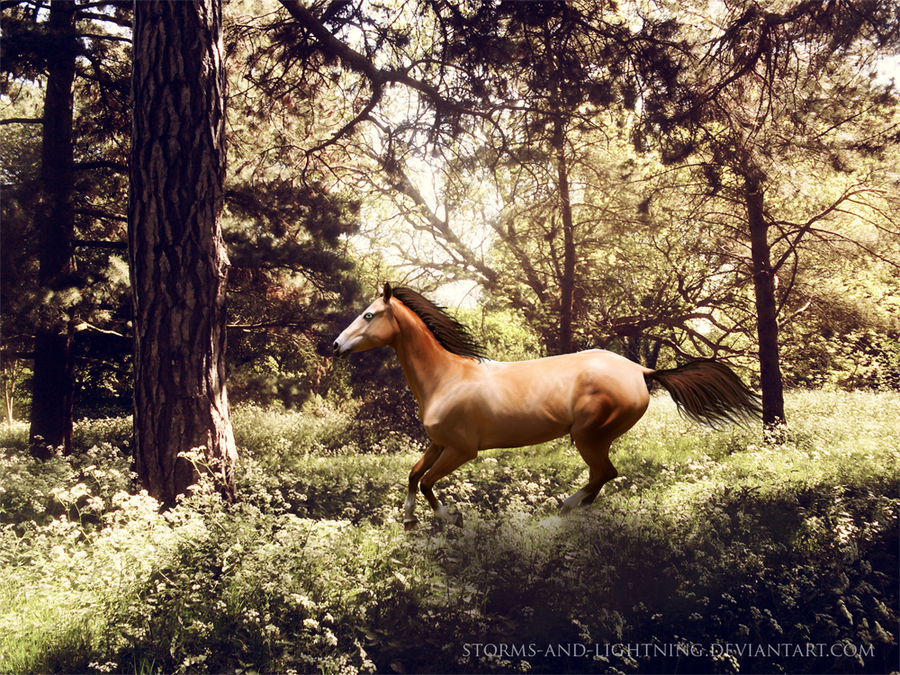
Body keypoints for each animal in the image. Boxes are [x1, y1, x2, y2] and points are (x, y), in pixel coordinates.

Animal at [330, 282, 760, 532]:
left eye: (369, 314)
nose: (335, 345)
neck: (448, 377)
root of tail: (640, 369)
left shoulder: (462, 450)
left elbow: (428, 482)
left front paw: (451, 516)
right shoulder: (439, 443)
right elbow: (414, 474)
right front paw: (408, 519)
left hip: (588, 436)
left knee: (604, 473)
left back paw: (563, 509)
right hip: (594, 437)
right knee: (604, 476)